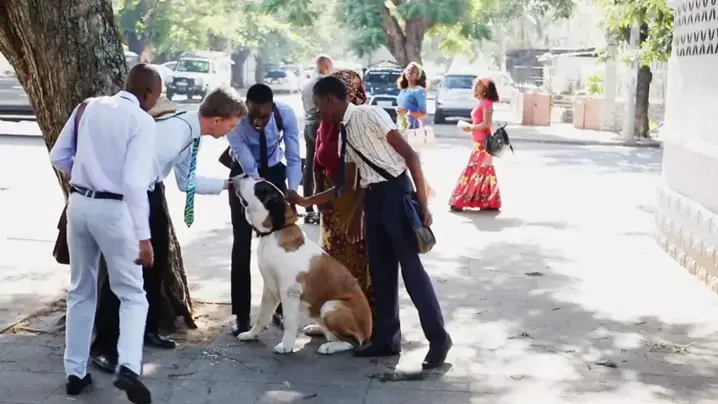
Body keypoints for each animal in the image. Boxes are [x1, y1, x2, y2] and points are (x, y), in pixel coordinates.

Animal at [231, 174, 372, 355]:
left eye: (260, 189)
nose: (246, 174)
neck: (274, 232)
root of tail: (368, 332)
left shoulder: (290, 292)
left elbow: (290, 322)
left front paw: (286, 345)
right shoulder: (269, 289)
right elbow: (262, 316)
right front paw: (250, 334)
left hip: (331, 306)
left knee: (354, 342)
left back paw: (330, 346)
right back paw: (317, 329)